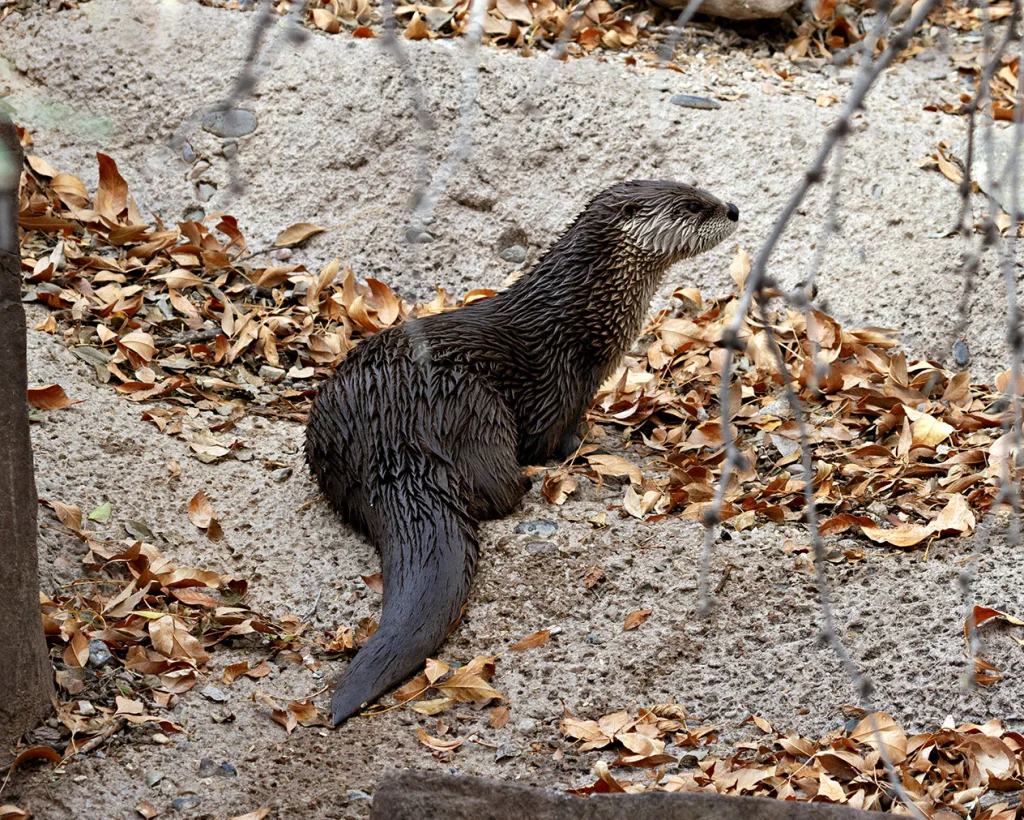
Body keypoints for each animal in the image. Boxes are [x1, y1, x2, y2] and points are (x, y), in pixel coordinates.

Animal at [305, 180, 739, 724]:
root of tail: (392, 439)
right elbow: (553, 436)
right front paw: (591, 448)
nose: (733, 208)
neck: (583, 314)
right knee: (498, 491)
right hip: (475, 403)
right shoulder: (561, 382)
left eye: (700, 190)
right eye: (693, 206)